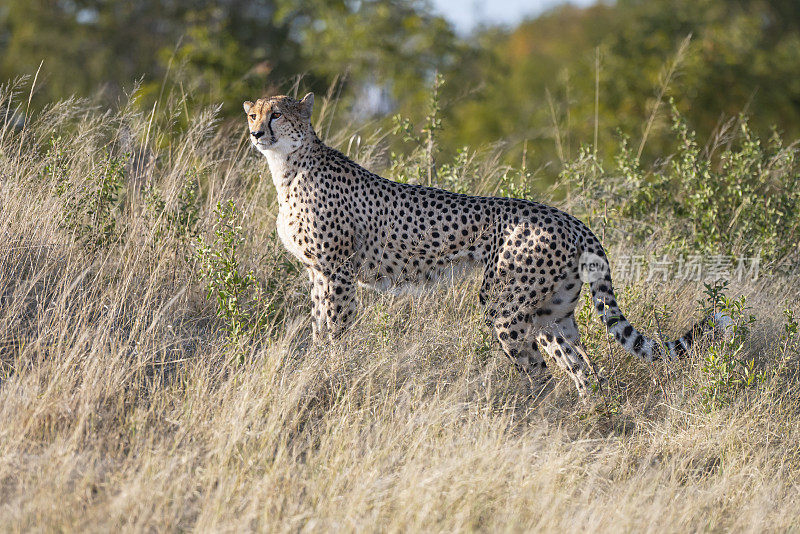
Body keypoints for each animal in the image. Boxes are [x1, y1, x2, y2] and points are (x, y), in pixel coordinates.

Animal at [244, 93, 732, 398]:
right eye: (253, 115)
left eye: (278, 114)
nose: (256, 134)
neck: (288, 166)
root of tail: (572, 219)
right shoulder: (318, 272)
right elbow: (317, 326)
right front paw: (313, 367)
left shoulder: (337, 271)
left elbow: (334, 329)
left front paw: (328, 370)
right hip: (551, 313)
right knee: (584, 369)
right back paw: (589, 419)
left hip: (504, 305)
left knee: (541, 376)